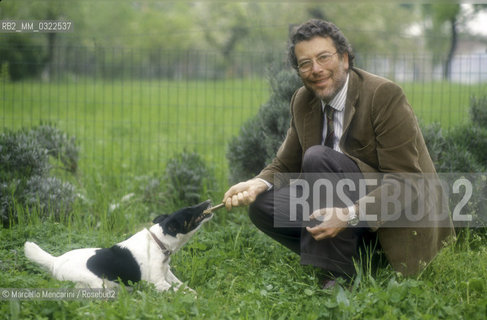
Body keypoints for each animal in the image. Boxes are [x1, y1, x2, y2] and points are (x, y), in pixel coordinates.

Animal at [24, 200, 212, 292]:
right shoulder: (158, 283)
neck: (158, 242)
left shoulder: (167, 275)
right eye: (189, 211)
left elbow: (184, 287)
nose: (209, 201)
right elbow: (181, 292)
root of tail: (55, 261)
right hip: (95, 285)